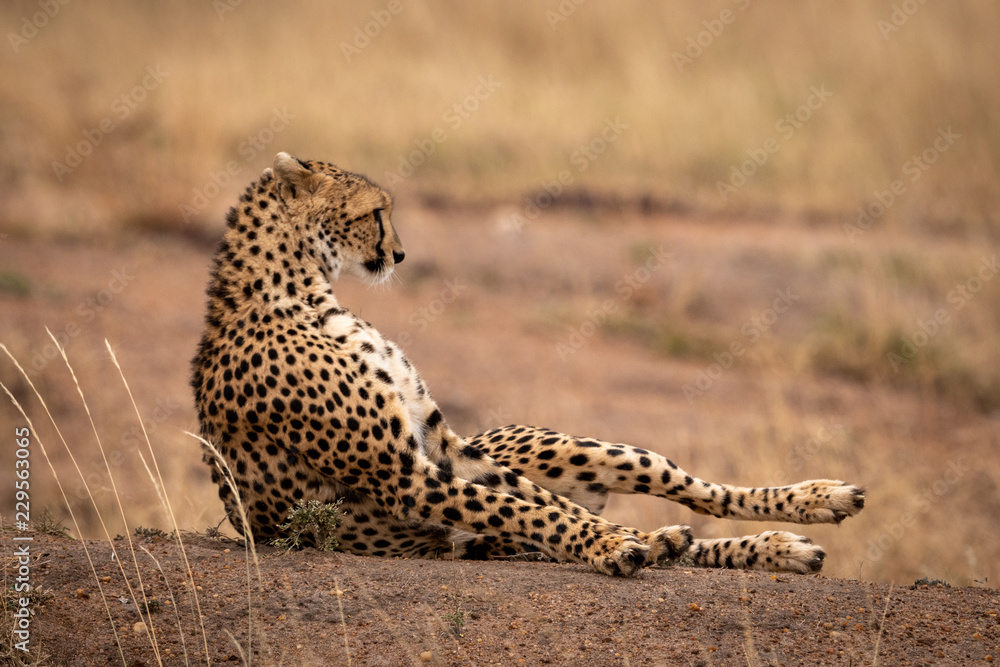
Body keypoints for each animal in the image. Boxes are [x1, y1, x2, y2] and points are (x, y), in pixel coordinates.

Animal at [191, 152, 865, 577]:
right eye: (374, 211)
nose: (400, 254)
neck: (301, 288)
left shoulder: (444, 447)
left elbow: (540, 504)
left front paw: (624, 540)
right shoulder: (402, 475)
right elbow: (526, 510)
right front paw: (615, 546)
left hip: (572, 449)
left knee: (692, 490)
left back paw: (810, 505)